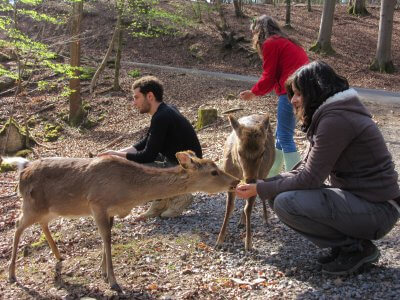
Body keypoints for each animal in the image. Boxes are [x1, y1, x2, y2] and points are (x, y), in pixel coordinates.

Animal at [5, 151, 238, 292]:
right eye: (213, 171)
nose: (235, 181)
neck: (128, 193)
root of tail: (21, 173)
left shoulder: (110, 211)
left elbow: (107, 237)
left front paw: (103, 272)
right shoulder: (97, 203)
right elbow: (106, 238)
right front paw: (114, 282)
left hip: (50, 209)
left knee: (42, 224)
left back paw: (59, 255)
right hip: (31, 205)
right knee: (17, 226)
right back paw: (12, 274)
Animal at [216, 114, 276, 251]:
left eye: (262, 152)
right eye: (239, 151)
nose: (251, 179)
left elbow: (248, 208)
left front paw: (248, 244)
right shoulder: (231, 182)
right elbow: (229, 207)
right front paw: (219, 241)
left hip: (265, 172)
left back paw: (266, 219)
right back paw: (241, 222)